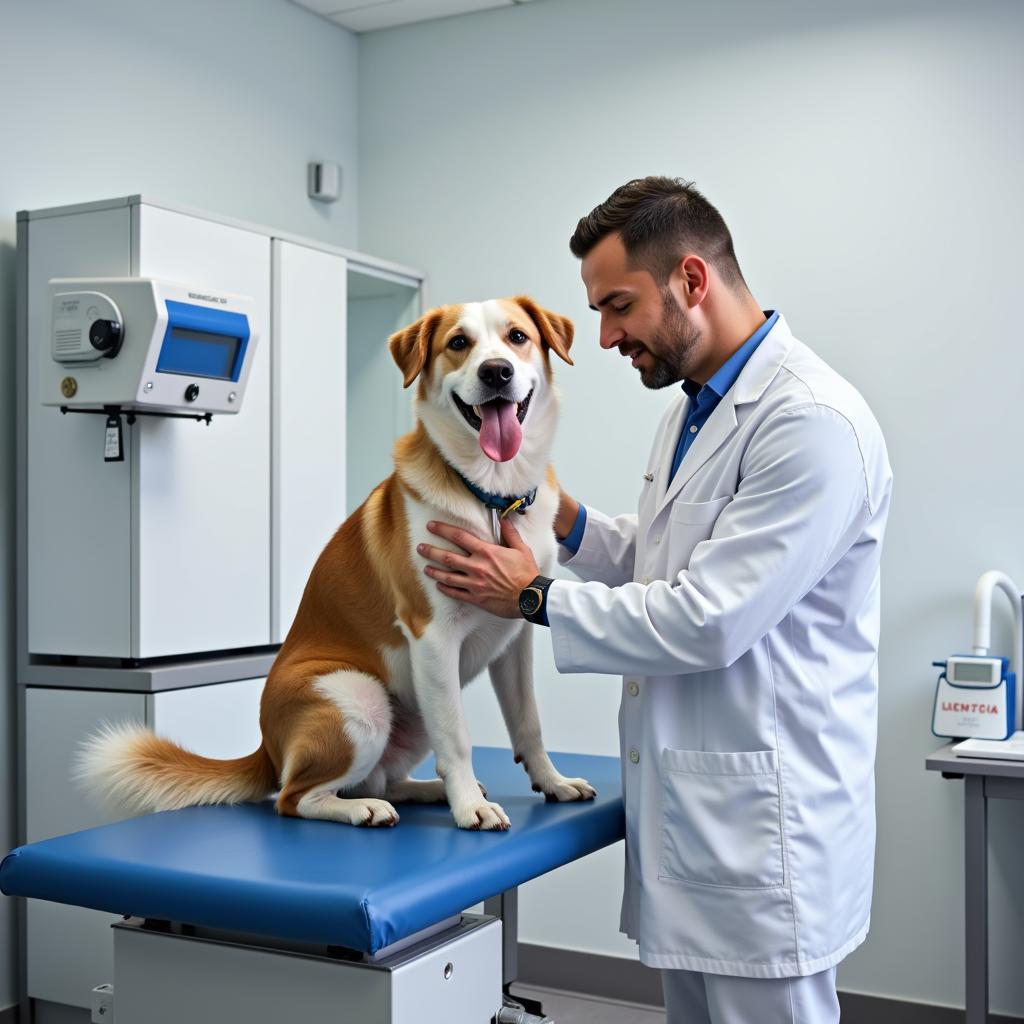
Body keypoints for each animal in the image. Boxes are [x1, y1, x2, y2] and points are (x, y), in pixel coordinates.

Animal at [77, 296, 593, 831]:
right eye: (458, 343)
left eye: (517, 337)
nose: (496, 371)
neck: (491, 497)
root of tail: (266, 749)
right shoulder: (432, 636)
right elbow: (458, 739)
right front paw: (470, 806)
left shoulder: (515, 635)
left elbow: (528, 722)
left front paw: (552, 782)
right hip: (360, 698)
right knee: (295, 797)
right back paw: (367, 809)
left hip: (412, 711)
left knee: (379, 778)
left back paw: (424, 790)